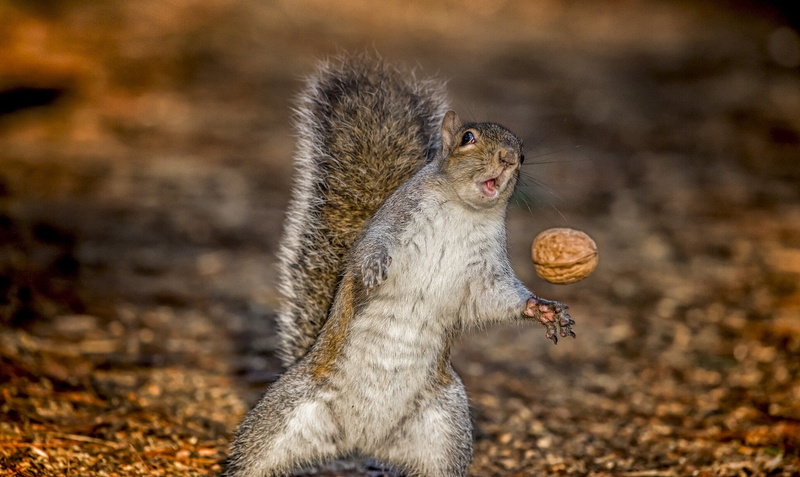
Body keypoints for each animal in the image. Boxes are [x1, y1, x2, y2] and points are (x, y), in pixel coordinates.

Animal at [225, 54, 576, 477]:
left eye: (522, 155)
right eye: (467, 138)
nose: (507, 160)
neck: (463, 211)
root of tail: (358, 444)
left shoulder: (486, 268)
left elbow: (495, 297)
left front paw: (543, 309)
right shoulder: (390, 224)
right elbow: (369, 251)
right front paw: (375, 269)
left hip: (446, 431)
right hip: (281, 415)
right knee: (254, 458)